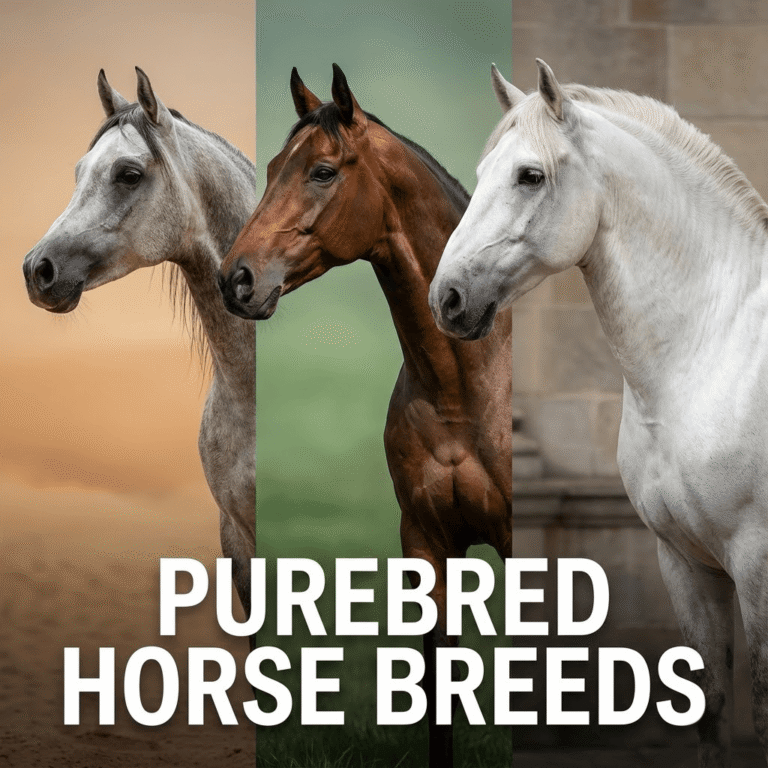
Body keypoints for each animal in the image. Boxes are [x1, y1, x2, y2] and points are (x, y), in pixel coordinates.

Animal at [217, 64, 512, 766]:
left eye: (324, 171)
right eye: (274, 167)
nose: (235, 279)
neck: (464, 388)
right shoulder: (427, 543)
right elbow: (439, 688)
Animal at [430, 58, 768, 767]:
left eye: (530, 175)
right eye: (482, 171)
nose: (446, 298)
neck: (714, 350)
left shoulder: (755, 564)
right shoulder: (686, 564)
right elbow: (712, 706)